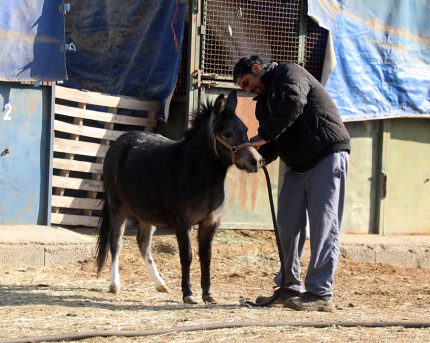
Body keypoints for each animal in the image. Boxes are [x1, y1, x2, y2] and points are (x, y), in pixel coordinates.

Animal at [95, 90, 262, 304]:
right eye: (227, 134)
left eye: (246, 129)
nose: (256, 161)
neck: (195, 172)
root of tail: (118, 143)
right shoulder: (183, 223)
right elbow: (187, 256)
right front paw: (188, 294)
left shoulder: (210, 223)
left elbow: (206, 256)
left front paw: (208, 294)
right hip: (118, 206)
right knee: (115, 241)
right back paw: (115, 284)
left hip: (146, 213)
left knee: (143, 243)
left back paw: (160, 284)